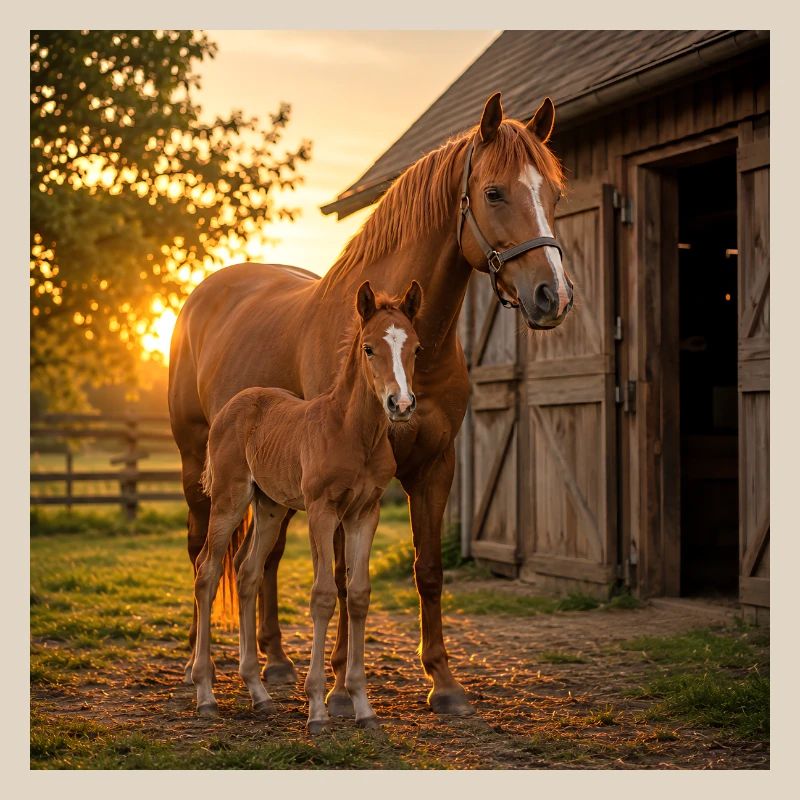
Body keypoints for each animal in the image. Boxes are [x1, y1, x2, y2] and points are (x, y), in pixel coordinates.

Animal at [192, 281, 422, 733]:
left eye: (416, 348)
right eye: (369, 348)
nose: (400, 404)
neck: (353, 433)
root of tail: (234, 404)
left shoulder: (365, 513)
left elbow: (358, 594)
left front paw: (363, 707)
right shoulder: (322, 511)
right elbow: (323, 596)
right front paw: (317, 709)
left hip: (269, 507)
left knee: (247, 574)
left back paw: (259, 694)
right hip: (229, 499)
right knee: (207, 572)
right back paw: (205, 694)